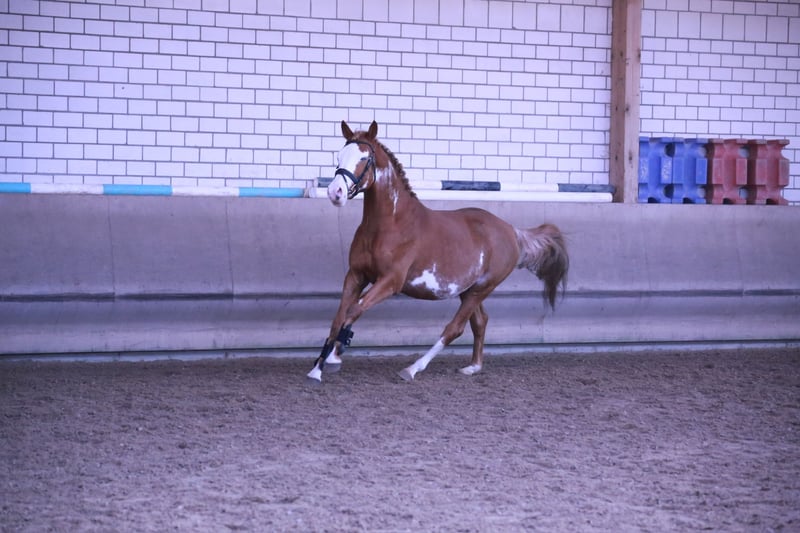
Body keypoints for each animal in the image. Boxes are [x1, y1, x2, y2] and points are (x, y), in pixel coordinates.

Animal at [307, 120, 569, 383]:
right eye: (339, 156)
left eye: (364, 158)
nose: (335, 192)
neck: (391, 224)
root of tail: (512, 231)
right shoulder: (356, 276)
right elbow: (339, 317)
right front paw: (319, 367)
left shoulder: (390, 282)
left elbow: (353, 310)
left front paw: (330, 361)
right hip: (468, 291)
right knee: (480, 322)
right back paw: (472, 367)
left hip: (481, 289)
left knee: (455, 328)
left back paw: (413, 368)